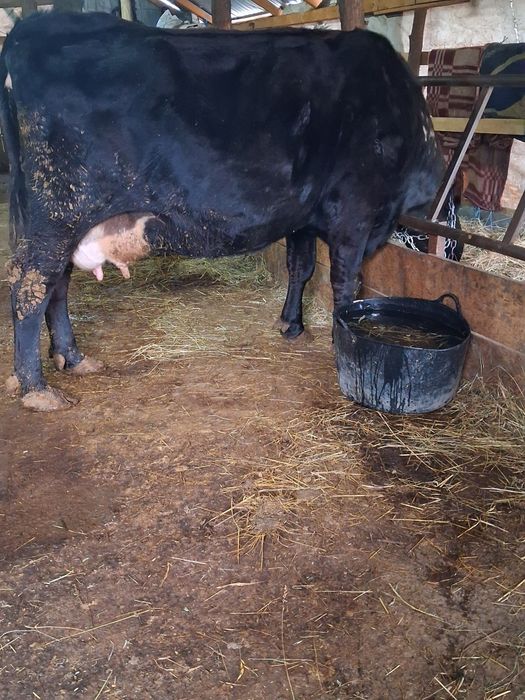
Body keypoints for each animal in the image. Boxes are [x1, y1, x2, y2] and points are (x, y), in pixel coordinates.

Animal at [1, 12, 443, 411]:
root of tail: (28, 29)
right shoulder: (356, 212)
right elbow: (346, 285)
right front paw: (339, 341)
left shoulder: (302, 214)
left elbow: (300, 267)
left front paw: (291, 324)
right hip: (58, 211)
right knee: (30, 285)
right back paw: (37, 389)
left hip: (59, 219)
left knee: (56, 284)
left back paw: (71, 358)